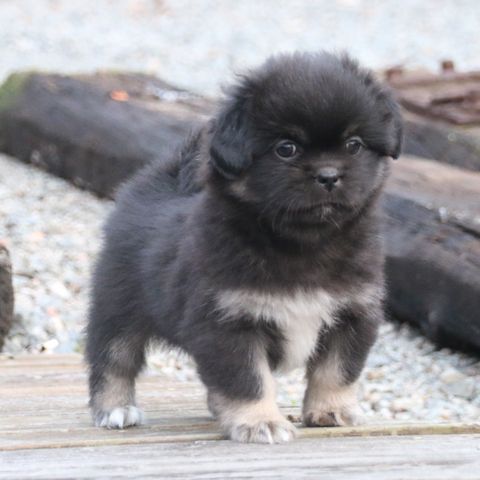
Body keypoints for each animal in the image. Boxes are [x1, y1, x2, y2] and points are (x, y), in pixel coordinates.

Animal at [85, 50, 402, 444]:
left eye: (353, 145)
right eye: (286, 149)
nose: (328, 176)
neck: (303, 243)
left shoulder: (353, 314)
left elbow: (337, 370)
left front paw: (331, 411)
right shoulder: (228, 322)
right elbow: (248, 379)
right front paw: (259, 422)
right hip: (118, 308)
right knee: (113, 358)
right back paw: (114, 408)